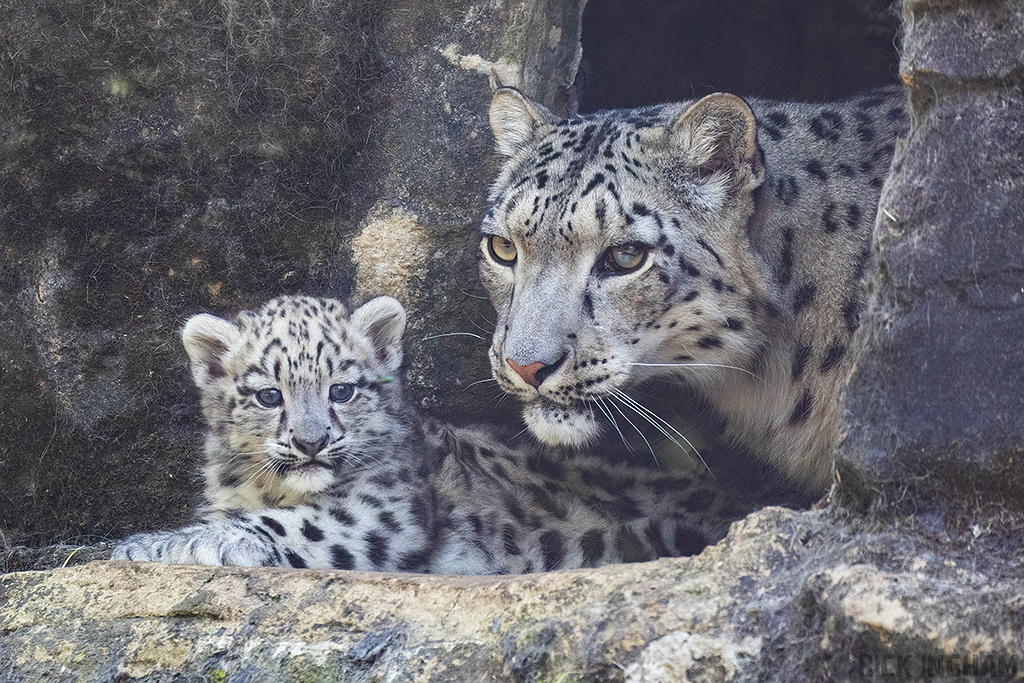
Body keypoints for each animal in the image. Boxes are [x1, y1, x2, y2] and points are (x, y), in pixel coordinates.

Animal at [112, 295, 753, 572]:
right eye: (270, 395)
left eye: (342, 390)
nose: (312, 442)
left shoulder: (385, 510)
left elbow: (289, 524)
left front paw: (161, 543)